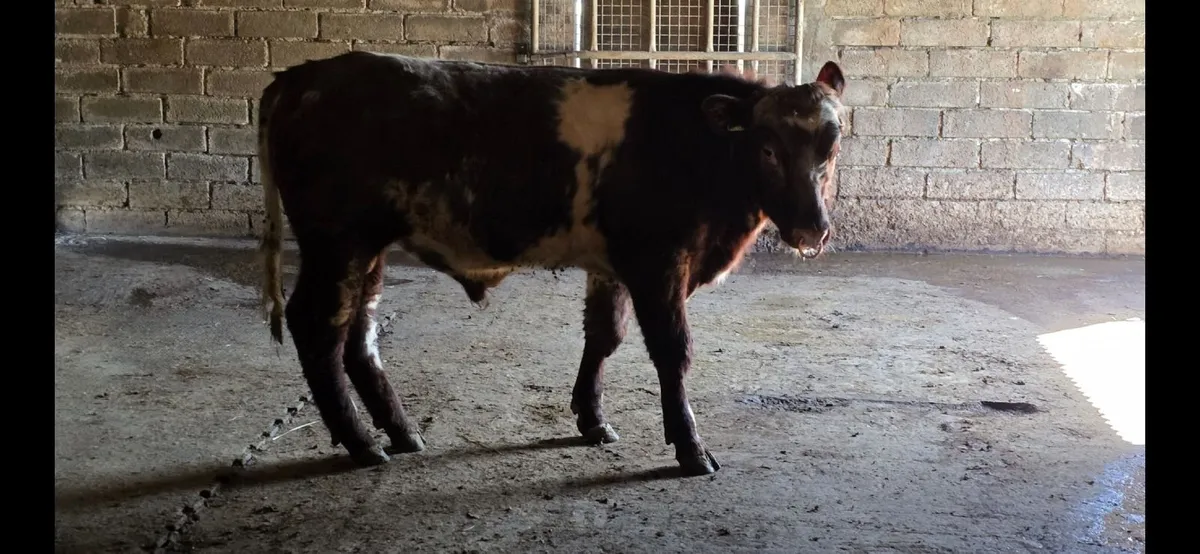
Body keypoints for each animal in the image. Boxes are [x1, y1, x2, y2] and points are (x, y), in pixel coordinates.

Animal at [257, 51, 847, 477]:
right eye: (768, 149)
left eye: (832, 146)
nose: (812, 229)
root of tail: (305, 74)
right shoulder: (659, 262)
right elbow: (672, 352)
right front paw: (690, 448)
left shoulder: (611, 266)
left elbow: (604, 337)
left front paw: (592, 420)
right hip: (336, 242)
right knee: (318, 327)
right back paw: (361, 443)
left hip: (369, 248)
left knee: (359, 337)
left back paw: (400, 433)